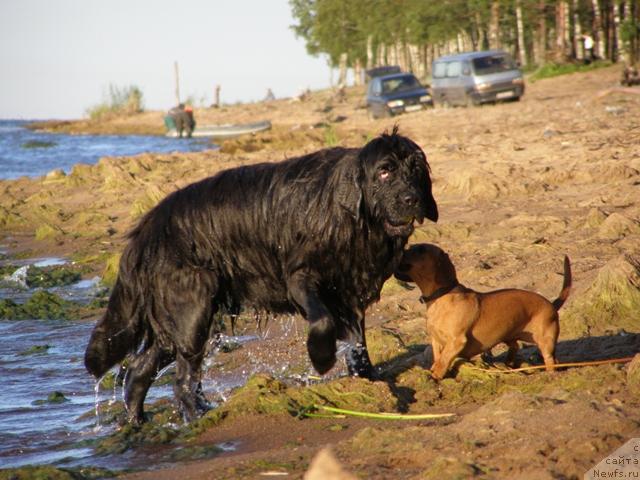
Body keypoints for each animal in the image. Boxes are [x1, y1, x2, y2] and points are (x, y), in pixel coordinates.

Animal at [85, 128, 438, 424]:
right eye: (384, 171)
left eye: (416, 169)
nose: (412, 199)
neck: (352, 217)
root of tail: (146, 229)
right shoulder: (300, 277)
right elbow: (323, 322)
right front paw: (322, 358)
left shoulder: (350, 294)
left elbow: (358, 344)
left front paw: (368, 382)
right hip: (192, 307)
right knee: (183, 378)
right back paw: (198, 417)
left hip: (180, 321)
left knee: (141, 368)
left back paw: (139, 421)